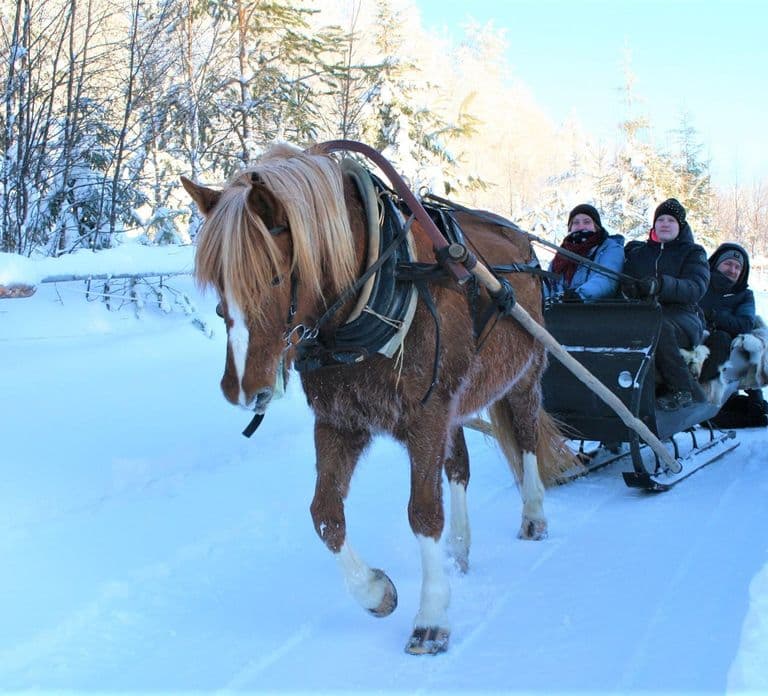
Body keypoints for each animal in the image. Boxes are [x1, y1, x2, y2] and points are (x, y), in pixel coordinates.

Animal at [181, 143, 574, 655]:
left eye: (272, 277)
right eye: (217, 282)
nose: (242, 390)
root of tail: (522, 245)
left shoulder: (425, 417)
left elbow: (423, 512)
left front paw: (431, 617)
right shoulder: (340, 421)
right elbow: (324, 514)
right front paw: (375, 592)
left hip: (523, 377)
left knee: (526, 440)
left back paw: (533, 515)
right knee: (459, 468)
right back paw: (459, 548)